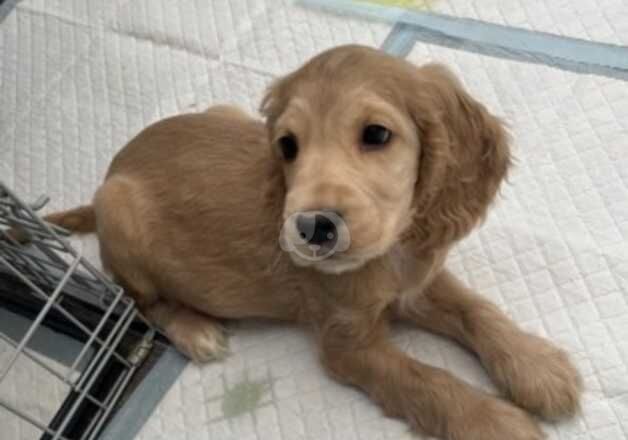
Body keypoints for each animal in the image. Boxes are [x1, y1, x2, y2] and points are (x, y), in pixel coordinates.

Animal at [46, 45, 580, 440]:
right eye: (288, 146)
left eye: (377, 134)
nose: (312, 228)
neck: (390, 254)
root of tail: (110, 175)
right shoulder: (348, 344)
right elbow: (427, 380)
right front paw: (498, 422)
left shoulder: (416, 280)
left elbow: (474, 308)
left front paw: (536, 366)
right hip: (120, 213)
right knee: (137, 300)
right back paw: (193, 329)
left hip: (223, 114)